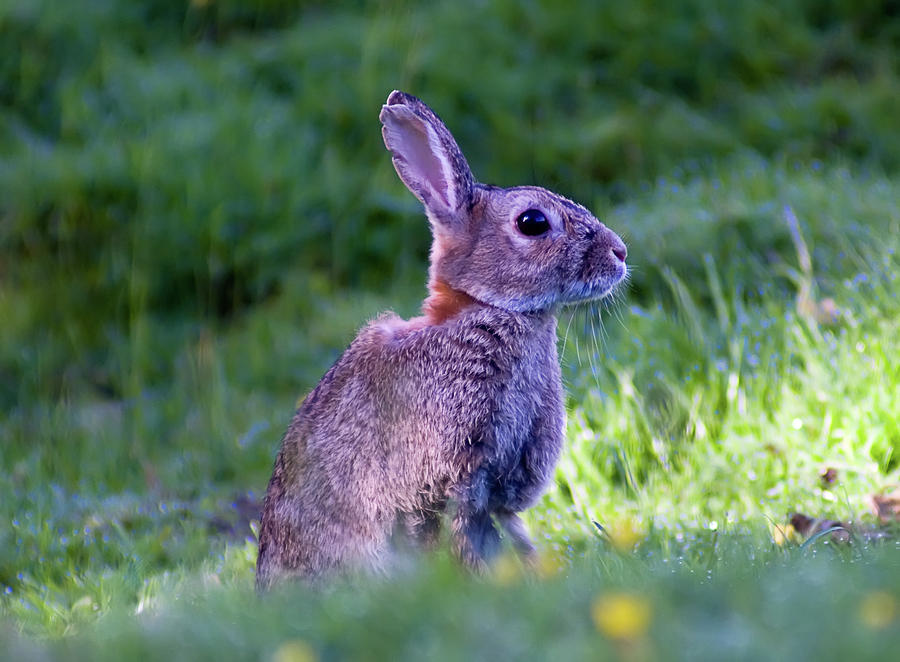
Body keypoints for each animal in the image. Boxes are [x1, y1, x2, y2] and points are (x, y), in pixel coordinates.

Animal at [255, 89, 624, 592]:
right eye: (532, 222)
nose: (620, 252)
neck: (484, 308)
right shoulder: (451, 480)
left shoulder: (497, 490)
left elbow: (511, 535)